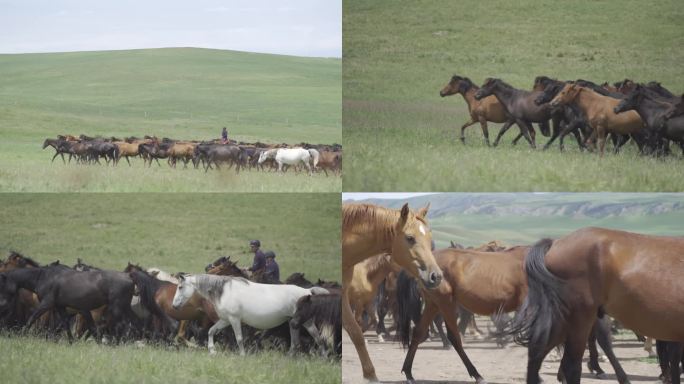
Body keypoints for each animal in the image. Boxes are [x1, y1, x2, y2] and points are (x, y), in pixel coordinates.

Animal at [172, 274, 330, 356]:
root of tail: (307, 292)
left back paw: (323, 357)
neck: (224, 291)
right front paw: (212, 351)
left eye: (180, 287)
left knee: (318, 338)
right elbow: (211, 331)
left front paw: (242, 355)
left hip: (307, 322)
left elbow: (239, 338)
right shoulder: (225, 320)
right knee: (295, 343)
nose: (174, 306)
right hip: (294, 322)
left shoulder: (234, 320)